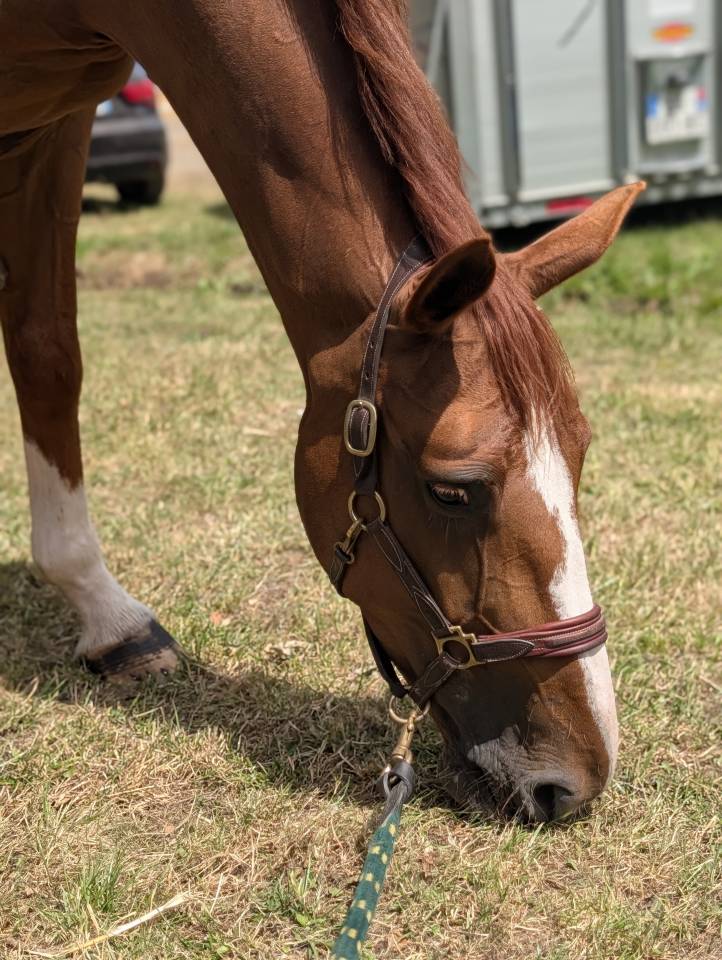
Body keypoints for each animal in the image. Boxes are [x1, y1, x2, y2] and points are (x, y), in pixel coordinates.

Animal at [0, 0, 643, 823]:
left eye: (583, 452)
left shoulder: (55, 128)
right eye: (451, 490)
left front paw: (109, 620)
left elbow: (47, 351)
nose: (577, 780)